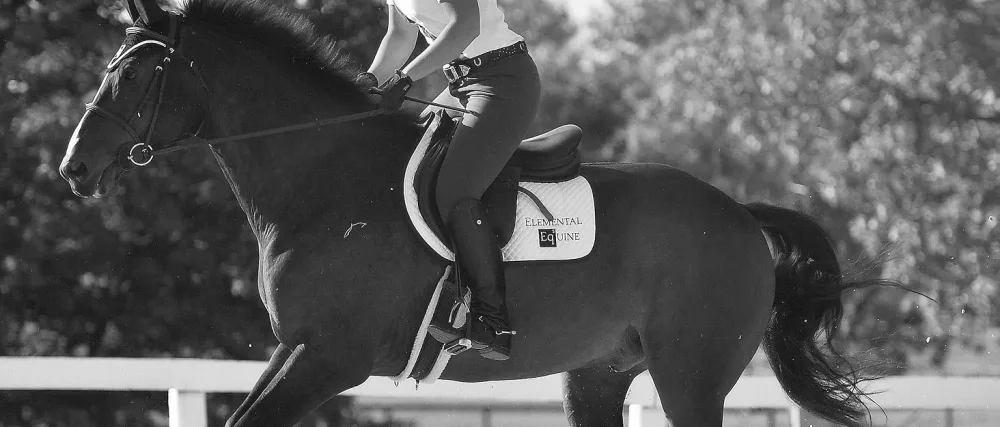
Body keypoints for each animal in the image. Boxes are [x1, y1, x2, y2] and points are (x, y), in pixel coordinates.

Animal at [59, 0, 889, 426]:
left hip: (692, 375)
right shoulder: (298, 349)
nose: (73, 168)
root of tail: (740, 215)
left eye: (135, 75)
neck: (320, 174)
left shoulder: (329, 355)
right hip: (599, 373)